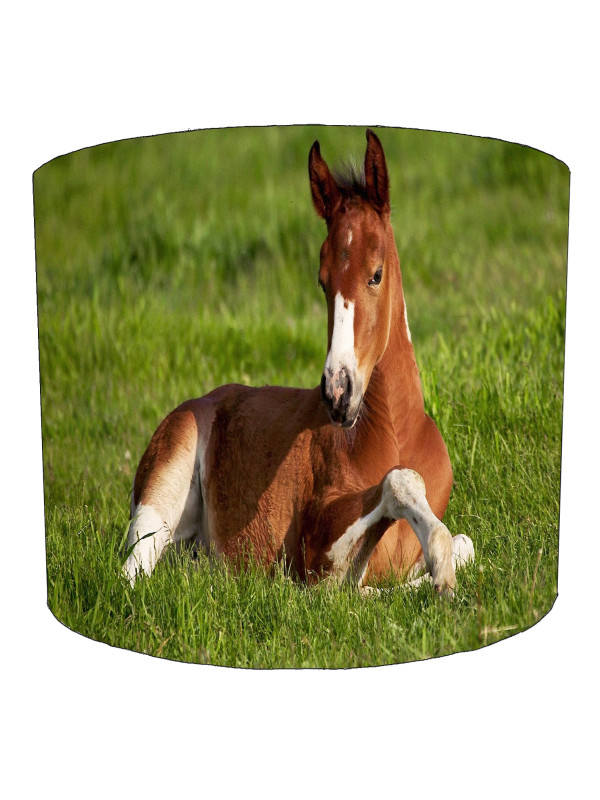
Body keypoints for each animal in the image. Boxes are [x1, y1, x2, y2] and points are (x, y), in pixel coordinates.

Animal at [123, 129, 474, 596]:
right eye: (322, 282)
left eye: (376, 274)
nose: (338, 392)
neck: (396, 434)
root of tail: (198, 403)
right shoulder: (316, 551)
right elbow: (395, 491)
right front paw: (438, 563)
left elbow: (465, 544)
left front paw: (439, 570)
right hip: (159, 497)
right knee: (132, 573)